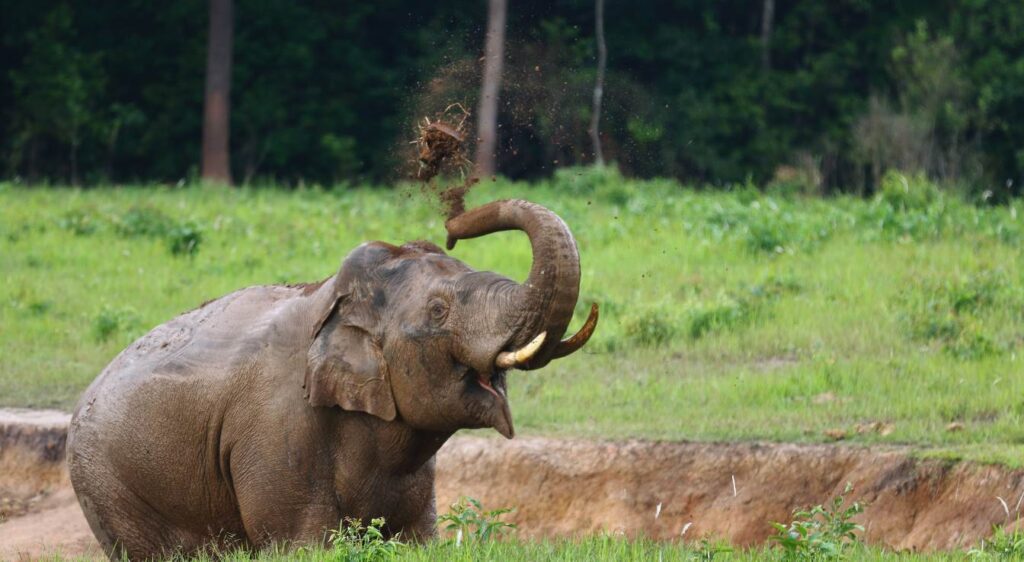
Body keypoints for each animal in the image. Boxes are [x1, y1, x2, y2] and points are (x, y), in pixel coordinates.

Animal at [67, 198, 598, 560]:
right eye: (438, 310)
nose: (452, 225)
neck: (333, 301)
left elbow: (415, 540)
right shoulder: (276, 435)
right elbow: (303, 543)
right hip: (109, 487)